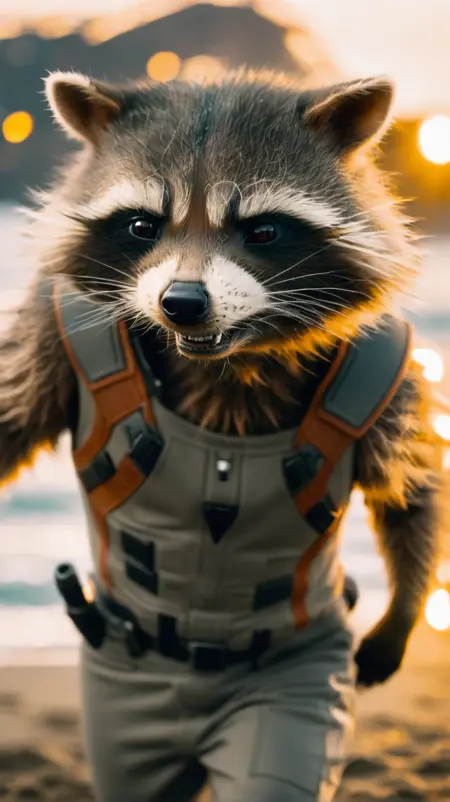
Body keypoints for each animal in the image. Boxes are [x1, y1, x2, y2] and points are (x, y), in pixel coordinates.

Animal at [0, 68, 443, 696]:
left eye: (262, 231)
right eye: (143, 225)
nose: (182, 303)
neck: (230, 358)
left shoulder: (391, 367)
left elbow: (411, 489)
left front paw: (405, 607)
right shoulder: (48, 330)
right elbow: (9, 414)